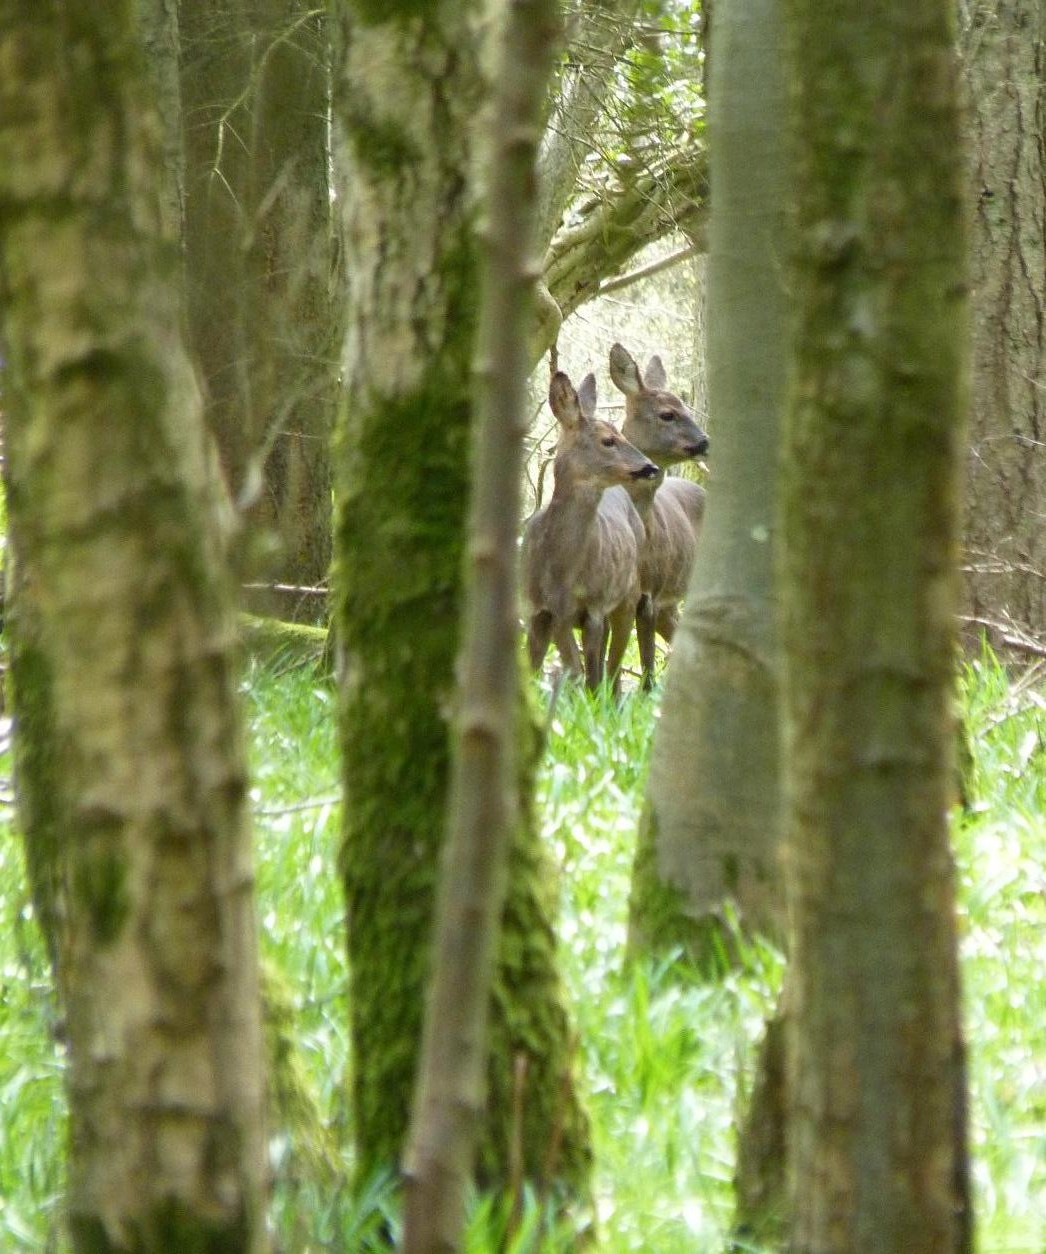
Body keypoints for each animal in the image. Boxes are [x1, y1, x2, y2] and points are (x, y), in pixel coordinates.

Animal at [522, 369, 660, 691]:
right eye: (608, 440)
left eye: (622, 434)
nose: (650, 467)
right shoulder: (537, 608)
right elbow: (543, 668)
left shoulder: (593, 606)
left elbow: (586, 670)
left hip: (628, 593)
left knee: (612, 662)